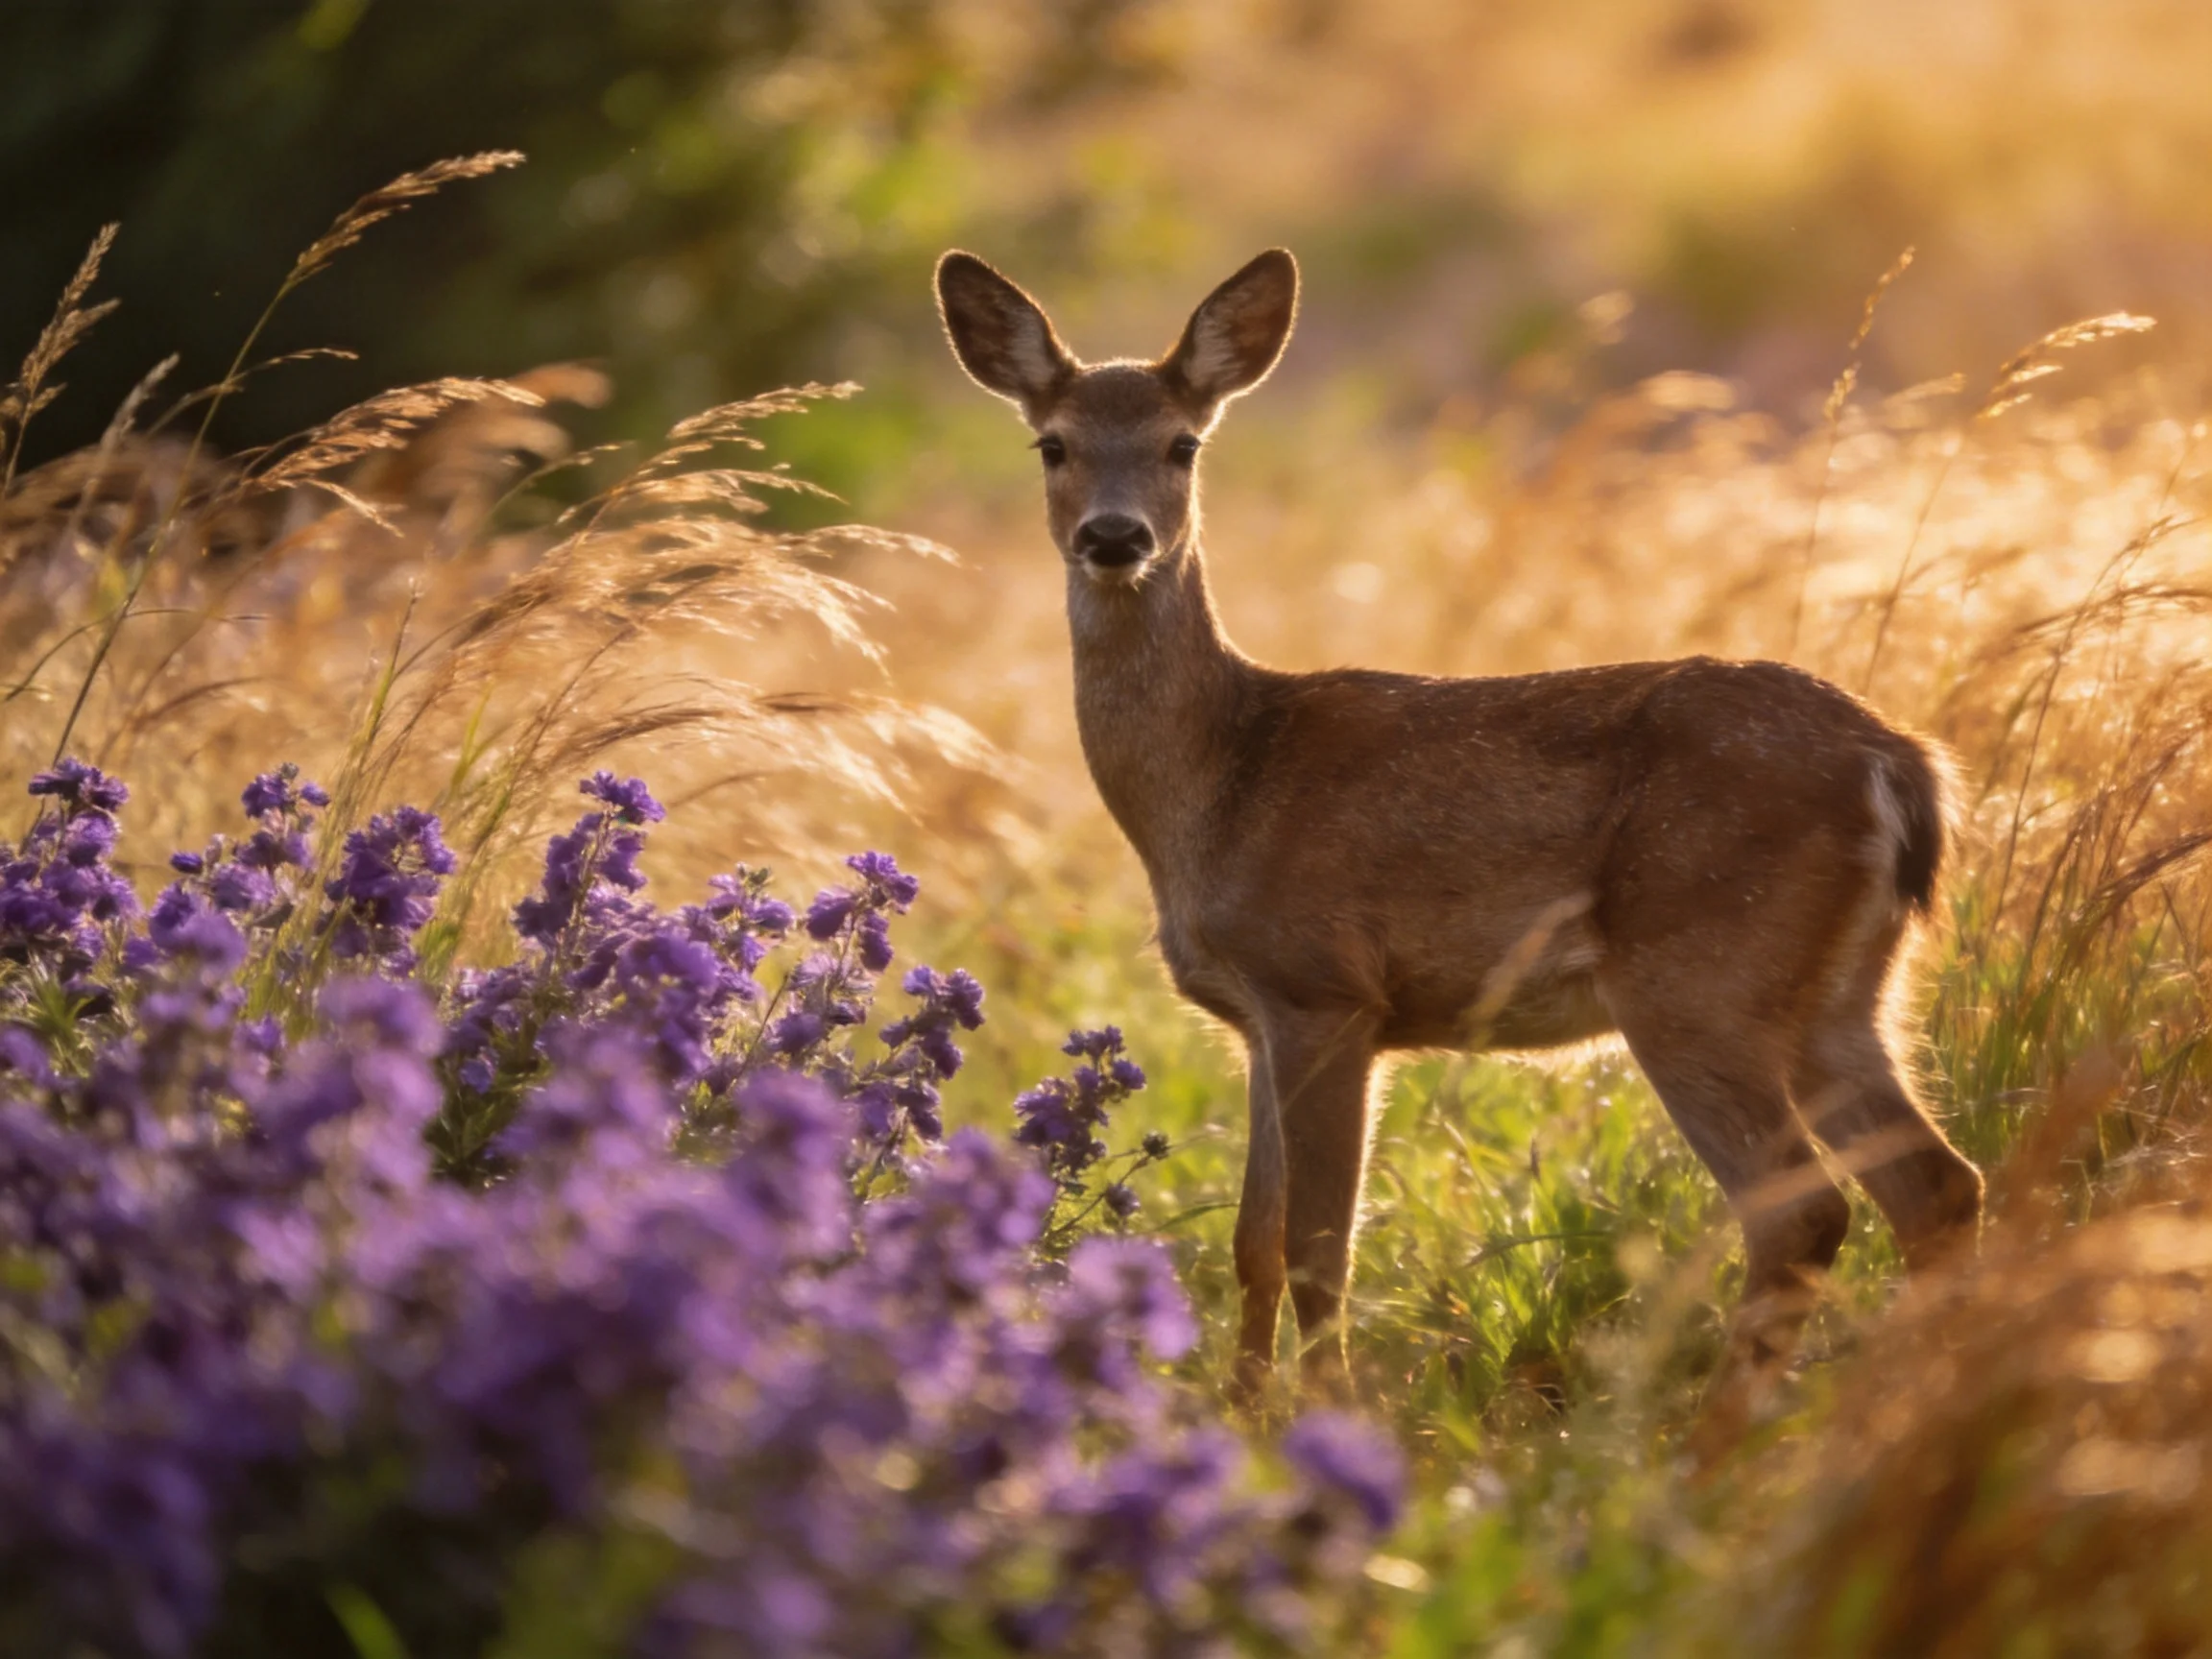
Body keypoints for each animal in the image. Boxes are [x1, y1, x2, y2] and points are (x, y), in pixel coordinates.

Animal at [934, 246, 1985, 1437]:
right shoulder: (1256, 1018)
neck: (1221, 781)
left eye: (1181, 443)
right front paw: (1240, 1418)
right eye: (1053, 443)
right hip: (1843, 997)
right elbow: (1252, 1243)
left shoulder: (1326, 988)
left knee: (1802, 1216)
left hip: (1702, 974)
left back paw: (1703, 1454)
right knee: (1940, 1188)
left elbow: (1318, 1249)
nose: (1115, 538)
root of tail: (1902, 765)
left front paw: (1319, 1430)